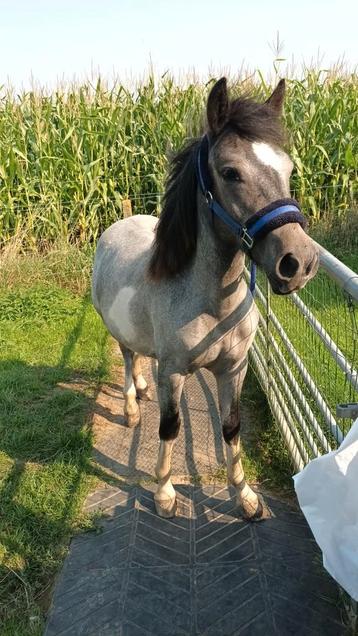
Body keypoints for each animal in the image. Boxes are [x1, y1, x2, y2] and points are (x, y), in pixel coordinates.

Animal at [92, 77, 318, 520]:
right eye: (230, 172)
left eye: (288, 168)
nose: (298, 262)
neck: (212, 305)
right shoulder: (174, 372)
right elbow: (169, 427)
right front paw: (164, 493)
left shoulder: (234, 369)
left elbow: (231, 428)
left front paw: (245, 497)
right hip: (117, 333)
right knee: (127, 358)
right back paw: (131, 407)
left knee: (139, 358)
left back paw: (142, 388)